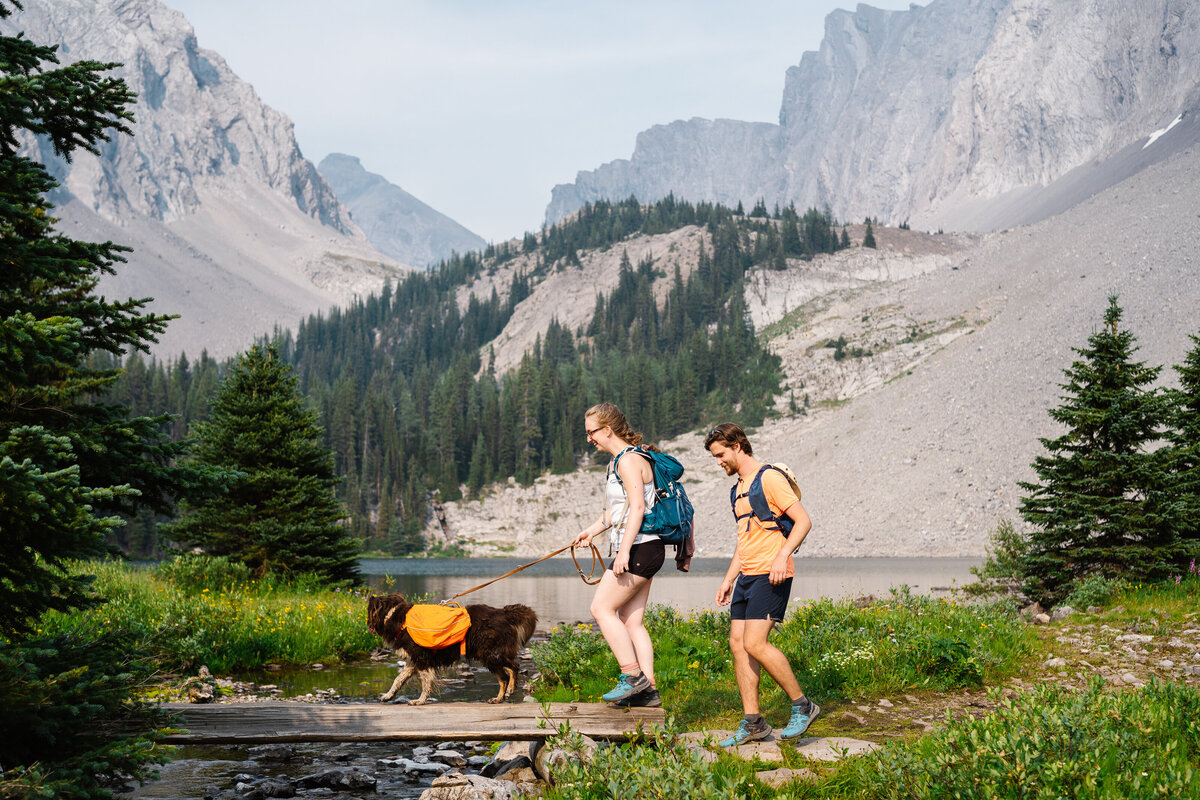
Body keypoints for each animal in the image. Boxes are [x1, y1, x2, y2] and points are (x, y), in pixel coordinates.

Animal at [362, 592, 537, 705]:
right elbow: (398, 679)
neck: (393, 616)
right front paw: (388, 696)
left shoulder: (422, 659)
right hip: (492, 653)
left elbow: (426, 683)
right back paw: (504, 695)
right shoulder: (413, 661)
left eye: (368, 612)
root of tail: (504, 613)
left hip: (488, 653)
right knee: (509, 671)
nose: (367, 625)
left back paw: (505, 693)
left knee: (510, 670)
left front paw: (420, 700)